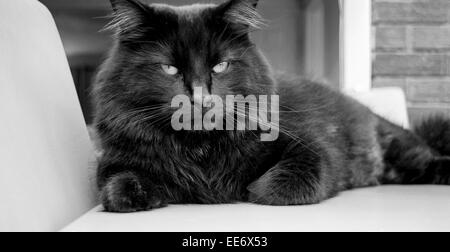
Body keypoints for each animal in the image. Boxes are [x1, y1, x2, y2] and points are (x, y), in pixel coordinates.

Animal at [92, 0, 450, 213]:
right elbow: (117, 188)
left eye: (220, 66)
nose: (200, 99)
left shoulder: (310, 150)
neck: (201, 149)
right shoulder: (113, 164)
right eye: (169, 69)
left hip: (400, 149)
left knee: (428, 159)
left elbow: (276, 186)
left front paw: (247, 190)